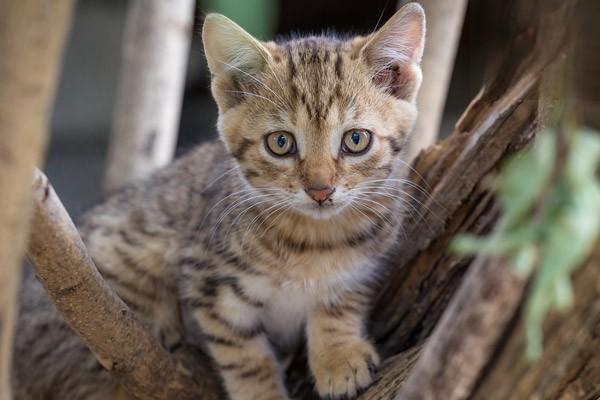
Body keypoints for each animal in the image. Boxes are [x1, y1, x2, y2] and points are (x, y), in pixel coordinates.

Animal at [11, 3, 424, 400]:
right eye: (281, 143)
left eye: (356, 140)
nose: (320, 190)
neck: (314, 238)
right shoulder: (207, 282)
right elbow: (245, 356)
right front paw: (263, 395)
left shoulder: (366, 263)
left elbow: (340, 302)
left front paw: (338, 356)